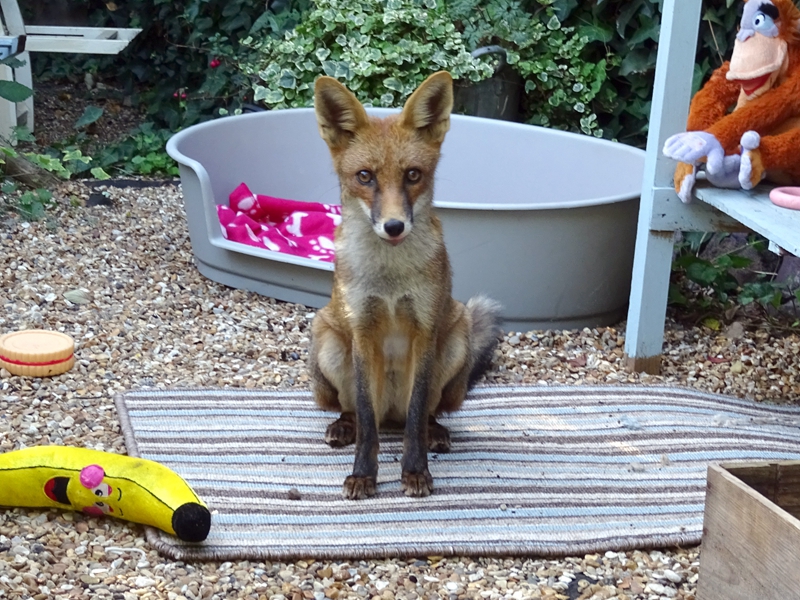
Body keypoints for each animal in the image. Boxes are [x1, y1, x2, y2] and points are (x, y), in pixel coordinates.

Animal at [306, 70, 500, 500]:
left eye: (413, 175)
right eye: (365, 177)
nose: (394, 226)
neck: (391, 282)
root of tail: (389, 414)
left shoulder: (424, 330)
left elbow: (415, 416)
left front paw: (415, 472)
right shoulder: (362, 332)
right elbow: (366, 420)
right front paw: (363, 475)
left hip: (456, 340)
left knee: (424, 412)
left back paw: (435, 431)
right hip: (328, 343)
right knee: (358, 413)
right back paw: (343, 425)